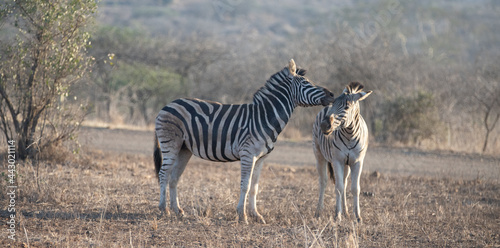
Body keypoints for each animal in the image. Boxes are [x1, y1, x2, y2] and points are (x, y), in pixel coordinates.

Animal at [151, 59, 332, 224]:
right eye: (306, 82)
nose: (331, 94)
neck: (265, 117)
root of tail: (166, 106)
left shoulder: (260, 158)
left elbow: (254, 187)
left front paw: (256, 215)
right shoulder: (248, 154)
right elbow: (245, 185)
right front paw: (242, 215)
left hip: (184, 149)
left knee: (174, 177)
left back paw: (177, 210)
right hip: (170, 145)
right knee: (163, 174)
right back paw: (164, 209)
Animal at [312, 81, 372, 223]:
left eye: (347, 107)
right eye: (334, 103)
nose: (324, 125)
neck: (350, 135)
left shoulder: (357, 162)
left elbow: (355, 188)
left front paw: (357, 216)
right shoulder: (337, 161)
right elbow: (338, 188)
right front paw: (337, 216)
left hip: (346, 164)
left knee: (344, 183)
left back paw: (346, 212)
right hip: (319, 155)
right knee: (323, 181)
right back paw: (318, 212)